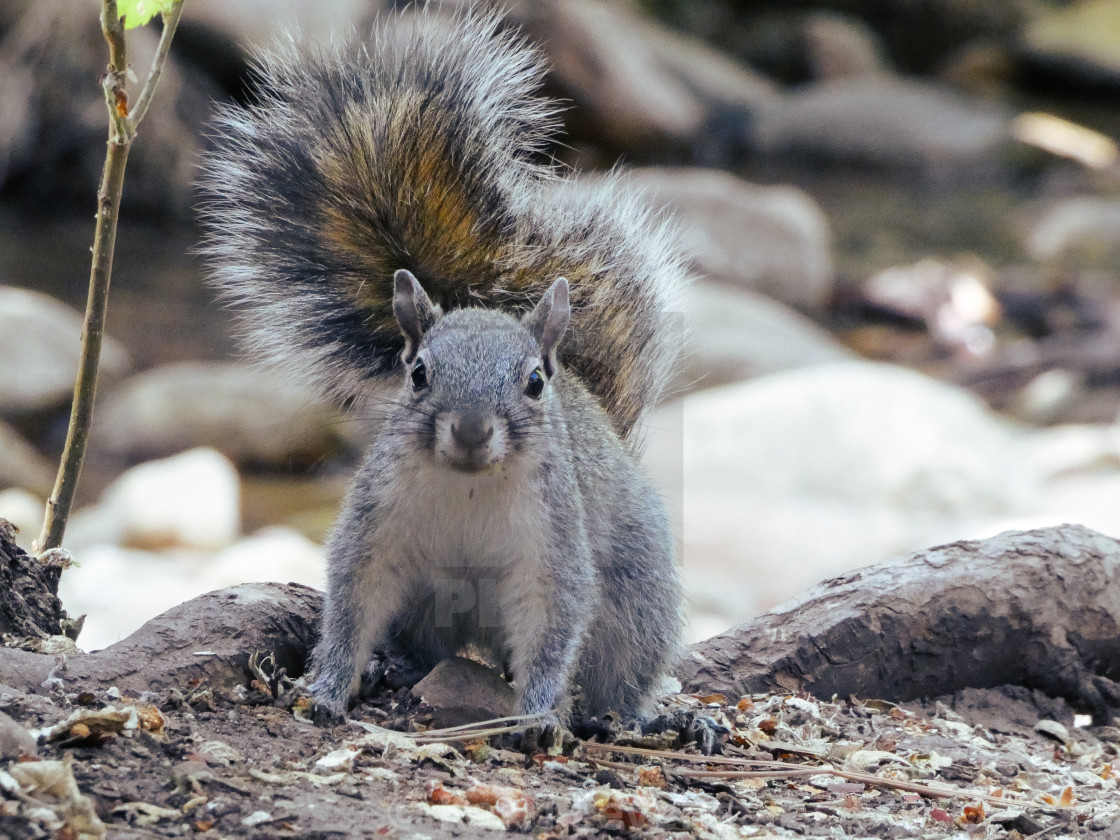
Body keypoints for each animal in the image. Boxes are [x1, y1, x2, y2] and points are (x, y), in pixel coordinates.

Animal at [202, 9, 689, 725]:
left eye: (534, 382)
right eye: (418, 375)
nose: (470, 430)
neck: (469, 488)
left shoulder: (554, 551)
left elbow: (553, 626)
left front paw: (537, 716)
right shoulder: (375, 529)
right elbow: (352, 604)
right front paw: (328, 686)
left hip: (637, 599)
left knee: (618, 676)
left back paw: (645, 716)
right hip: (429, 604)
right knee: (428, 646)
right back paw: (398, 668)